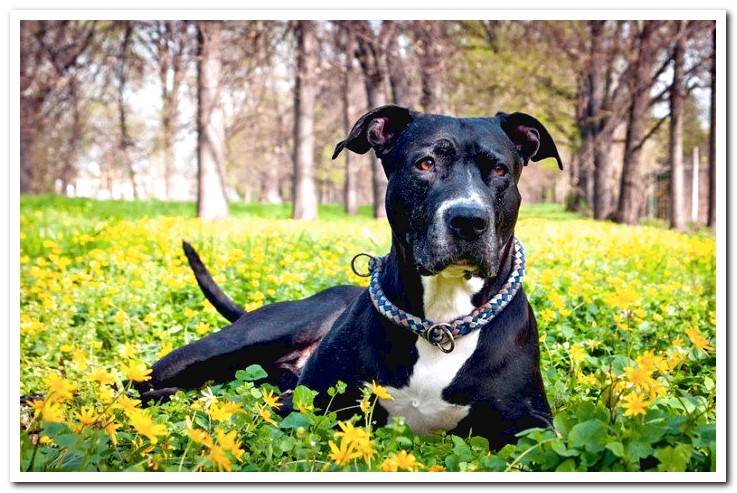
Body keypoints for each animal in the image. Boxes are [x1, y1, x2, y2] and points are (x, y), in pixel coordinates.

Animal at [138, 104, 560, 450]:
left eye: (500, 170)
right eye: (425, 164)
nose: (469, 219)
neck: (441, 324)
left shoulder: (533, 426)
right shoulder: (307, 402)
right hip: (241, 340)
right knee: (140, 382)